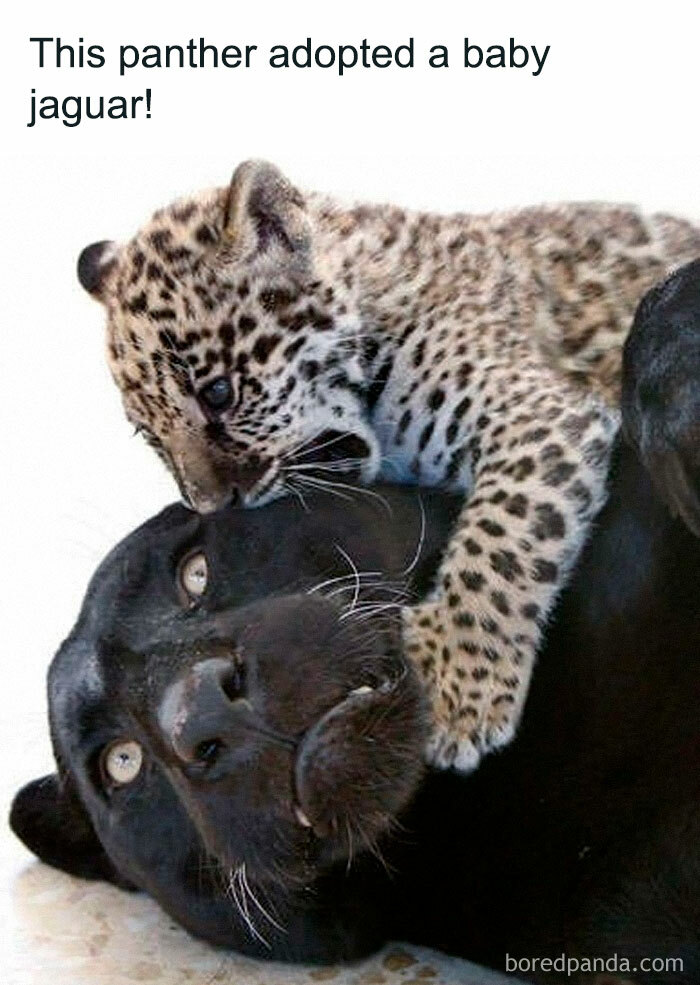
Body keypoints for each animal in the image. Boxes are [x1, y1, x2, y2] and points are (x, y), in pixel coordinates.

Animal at [77, 159, 700, 771]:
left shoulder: (535, 408)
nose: (213, 505)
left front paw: (455, 687)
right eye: (151, 437)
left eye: (219, 393)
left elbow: (499, 539)